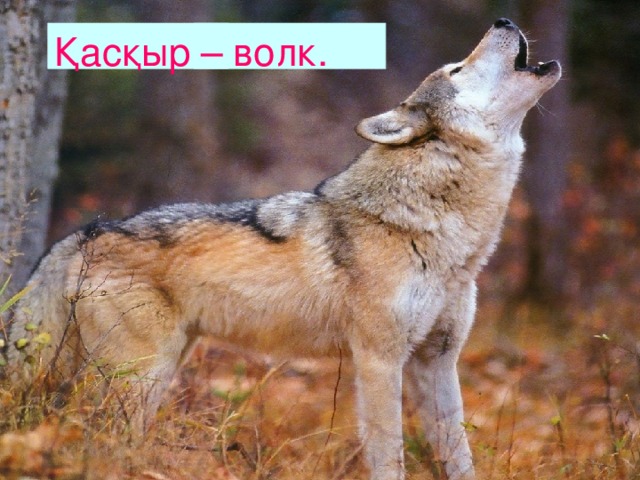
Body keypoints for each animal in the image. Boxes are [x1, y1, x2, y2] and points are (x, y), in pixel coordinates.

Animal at [7, 18, 560, 480]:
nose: (503, 18)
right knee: (97, 438)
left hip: (155, 373)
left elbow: (460, 457)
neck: (439, 232)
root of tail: (80, 235)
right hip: (138, 377)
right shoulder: (379, 361)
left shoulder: (437, 362)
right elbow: (390, 456)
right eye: (456, 68)